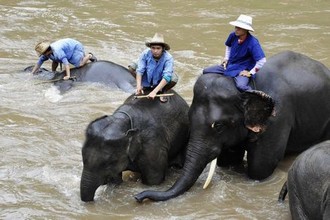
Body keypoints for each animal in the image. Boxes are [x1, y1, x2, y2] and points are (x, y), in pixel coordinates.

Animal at [133, 50, 330, 202]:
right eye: (189, 118)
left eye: (219, 126)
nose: (137, 197)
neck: (248, 87)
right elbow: (228, 160)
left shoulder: (277, 117)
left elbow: (261, 167)